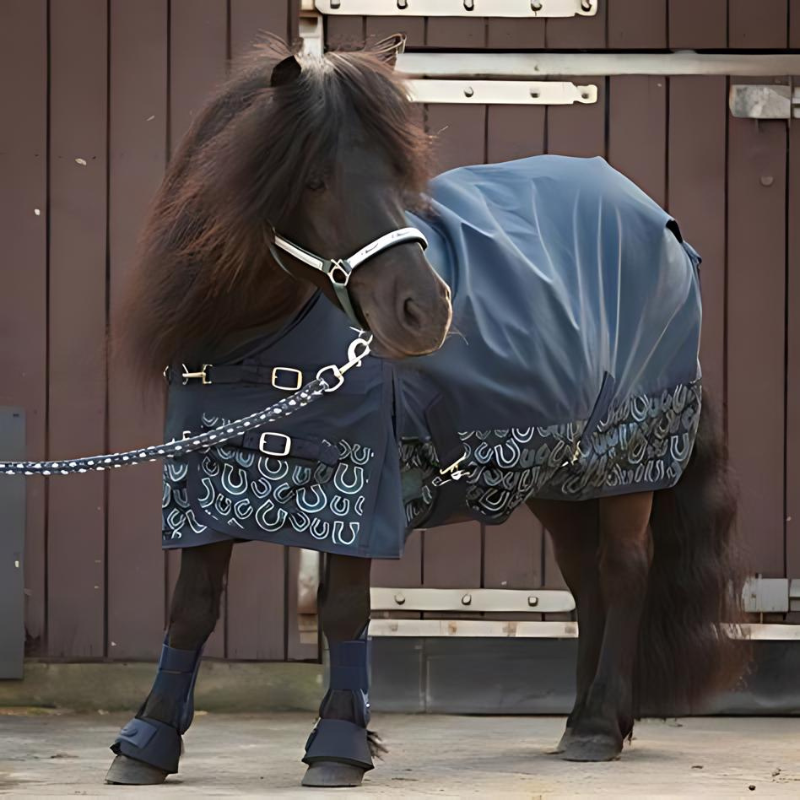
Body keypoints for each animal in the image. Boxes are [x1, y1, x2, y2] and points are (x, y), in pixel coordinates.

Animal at [106, 34, 748, 788]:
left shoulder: (359, 492)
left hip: (626, 463)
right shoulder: (201, 489)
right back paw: (587, 719)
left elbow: (344, 611)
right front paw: (146, 743)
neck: (255, 346)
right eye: (312, 179)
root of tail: (664, 225)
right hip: (556, 477)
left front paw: (338, 746)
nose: (427, 311)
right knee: (587, 578)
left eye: (397, 172)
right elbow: (191, 611)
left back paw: (596, 727)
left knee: (623, 570)